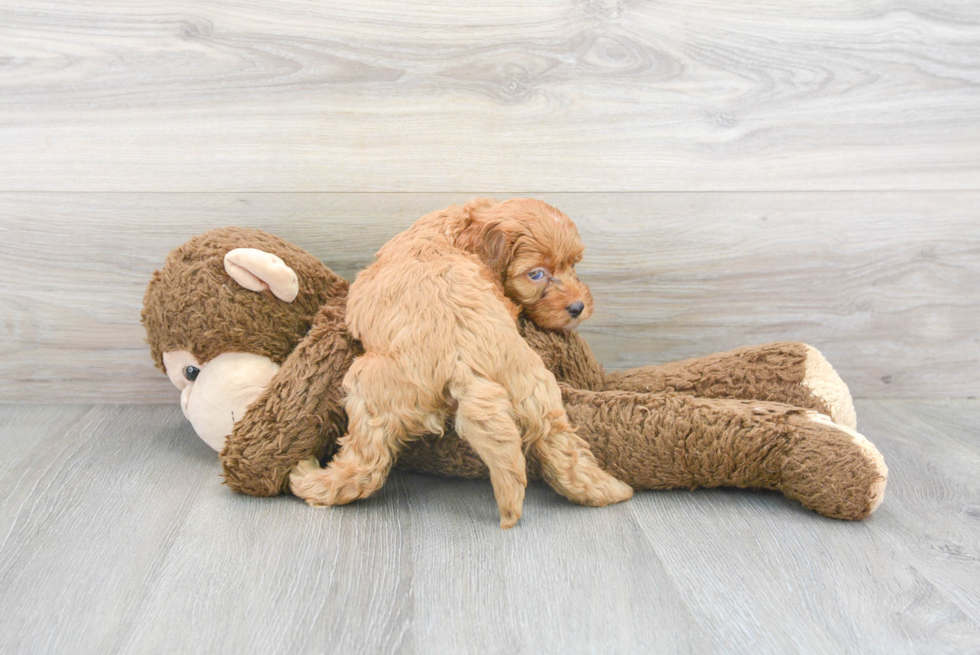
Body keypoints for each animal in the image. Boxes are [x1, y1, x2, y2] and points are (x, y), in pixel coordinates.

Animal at [288, 199, 632, 528]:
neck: (463, 225)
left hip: (369, 388)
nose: (578, 307)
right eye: (536, 274)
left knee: (365, 464)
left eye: (572, 265)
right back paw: (608, 491)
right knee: (564, 449)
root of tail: (464, 363)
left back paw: (311, 481)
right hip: (539, 393)